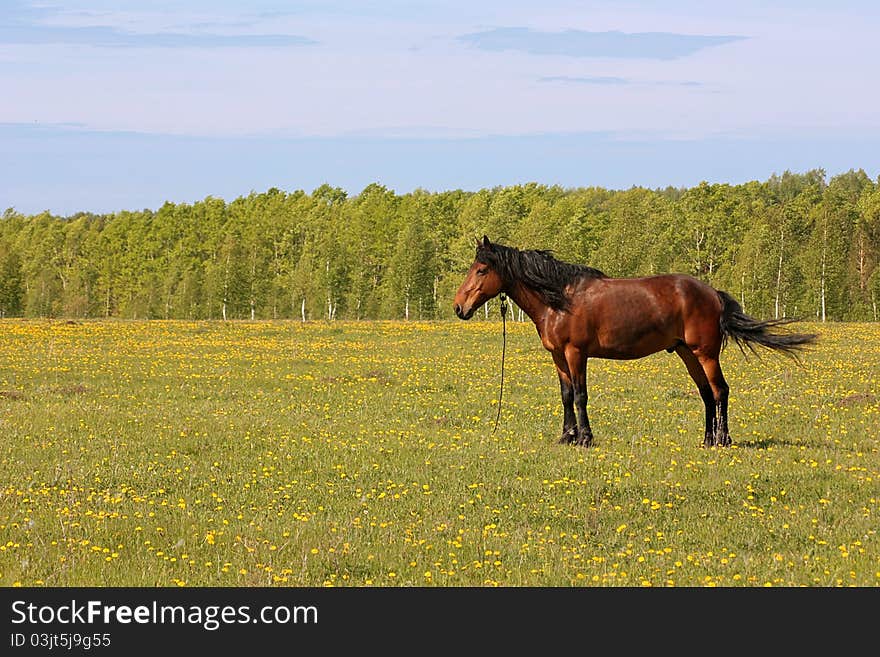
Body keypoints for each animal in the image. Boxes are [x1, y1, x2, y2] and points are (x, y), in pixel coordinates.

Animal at [454, 234, 820, 446]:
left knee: (720, 391)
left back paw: (723, 439)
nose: (459, 307)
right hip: (686, 353)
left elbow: (581, 396)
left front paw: (585, 438)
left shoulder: (576, 354)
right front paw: (566, 436)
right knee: (705, 393)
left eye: (482, 270)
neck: (561, 298)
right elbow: (566, 395)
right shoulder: (558, 356)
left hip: (705, 353)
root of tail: (711, 293)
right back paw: (706, 440)